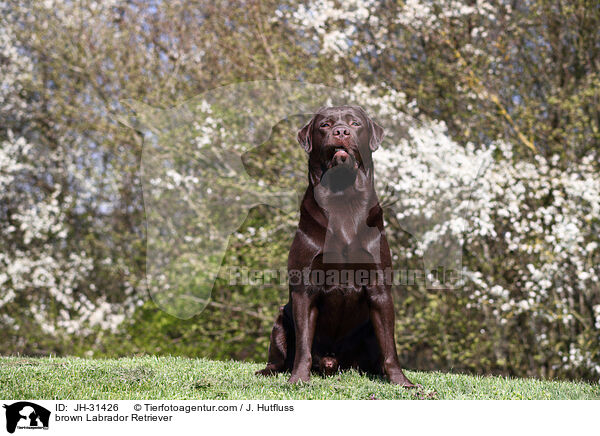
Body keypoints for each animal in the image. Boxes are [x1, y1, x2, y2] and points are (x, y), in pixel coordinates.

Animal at [255, 107, 414, 386]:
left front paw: (401, 382)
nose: (341, 131)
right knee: (279, 356)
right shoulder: (304, 287)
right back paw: (268, 371)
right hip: (281, 318)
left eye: (355, 123)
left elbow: (390, 347)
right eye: (325, 125)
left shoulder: (380, 287)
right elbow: (303, 345)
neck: (343, 196)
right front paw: (298, 379)